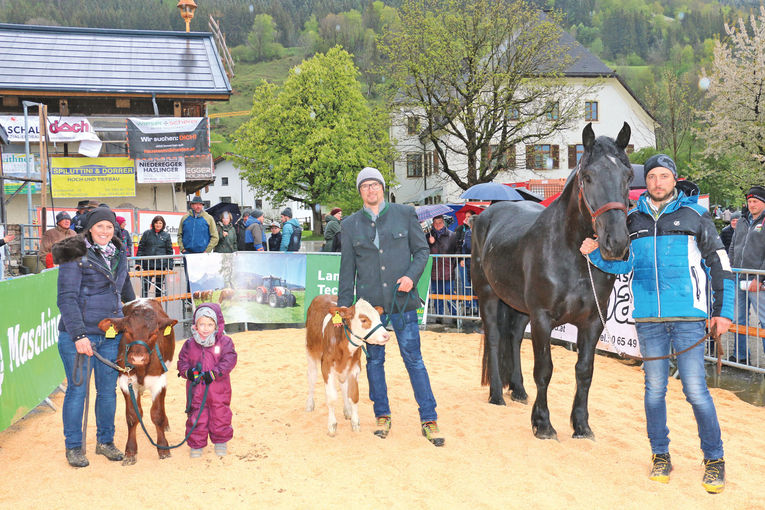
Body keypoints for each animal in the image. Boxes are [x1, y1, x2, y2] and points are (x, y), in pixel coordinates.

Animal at [97, 298, 176, 466]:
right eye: (127, 331)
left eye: (154, 334)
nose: (138, 358)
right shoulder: (125, 381)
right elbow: (132, 415)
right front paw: (130, 452)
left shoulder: (159, 381)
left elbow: (157, 414)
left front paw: (163, 448)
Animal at [304, 294, 388, 434]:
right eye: (363, 320)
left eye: (378, 316)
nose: (386, 335)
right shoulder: (326, 366)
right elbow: (331, 397)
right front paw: (332, 425)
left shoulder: (355, 367)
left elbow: (353, 395)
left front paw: (355, 423)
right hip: (311, 352)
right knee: (311, 378)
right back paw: (309, 404)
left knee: (343, 386)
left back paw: (347, 410)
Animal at [472, 122, 632, 438]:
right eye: (587, 176)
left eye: (628, 175)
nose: (616, 243)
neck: (572, 255)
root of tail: (486, 214)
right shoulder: (543, 318)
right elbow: (544, 369)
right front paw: (543, 424)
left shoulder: (592, 322)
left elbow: (585, 371)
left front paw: (581, 425)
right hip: (488, 296)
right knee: (495, 338)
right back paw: (497, 395)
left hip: (519, 308)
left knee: (514, 337)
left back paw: (518, 391)